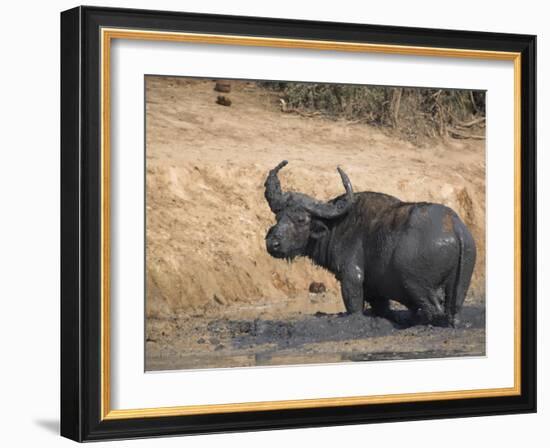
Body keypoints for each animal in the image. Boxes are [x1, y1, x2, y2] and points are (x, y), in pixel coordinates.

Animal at [266, 161, 476, 326]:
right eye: (278, 216)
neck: (336, 225)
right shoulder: (376, 290)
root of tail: (456, 227)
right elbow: (381, 306)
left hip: (417, 285)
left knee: (433, 309)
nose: (272, 243)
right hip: (459, 287)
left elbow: (354, 303)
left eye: (301, 219)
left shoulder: (351, 277)